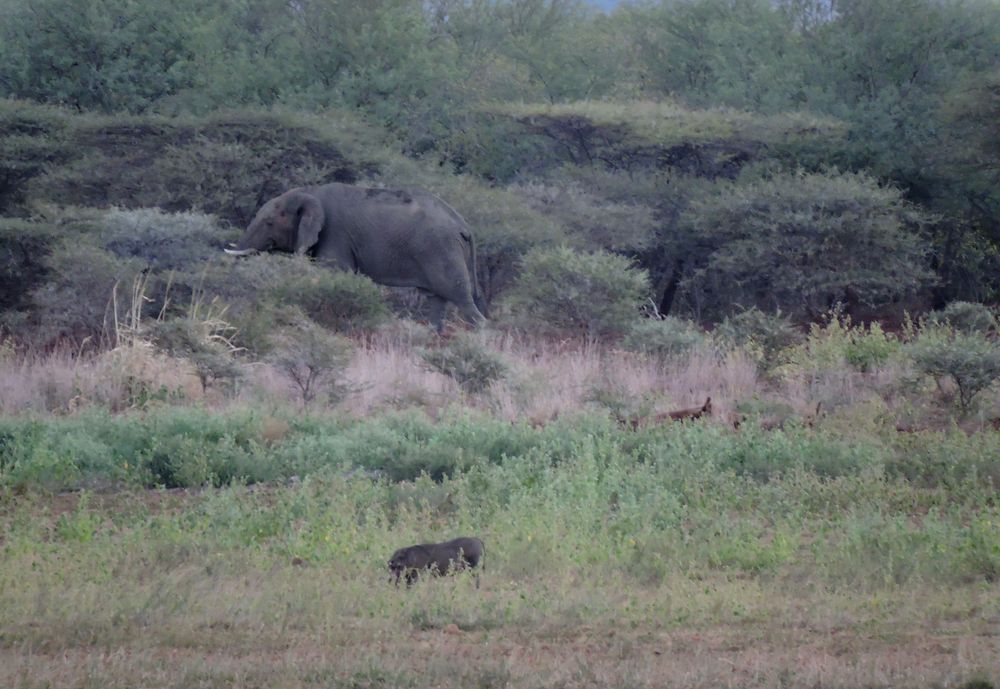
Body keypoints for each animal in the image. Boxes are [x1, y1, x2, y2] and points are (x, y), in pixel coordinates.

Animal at [224, 181, 488, 332]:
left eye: (269, 222)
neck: (310, 193)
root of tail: (464, 226)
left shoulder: (334, 234)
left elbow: (333, 272)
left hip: (443, 250)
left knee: (461, 299)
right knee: (437, 301)